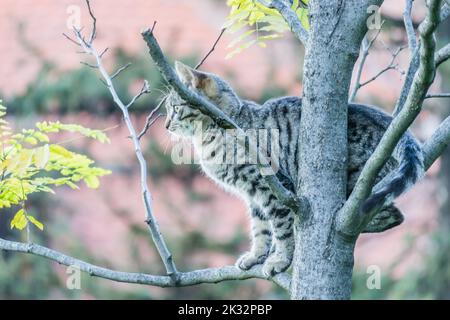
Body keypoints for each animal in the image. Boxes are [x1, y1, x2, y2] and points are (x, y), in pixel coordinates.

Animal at [163, 61, 424, 276]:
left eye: (174, 108)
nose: (165, 124)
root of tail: (393, 127)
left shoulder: (272, 187)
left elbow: (281, 227)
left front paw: (280, 259)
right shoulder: (254, 195)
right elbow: (260, 229)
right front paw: (257, 255)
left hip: (359, 185)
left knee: (389, 215)